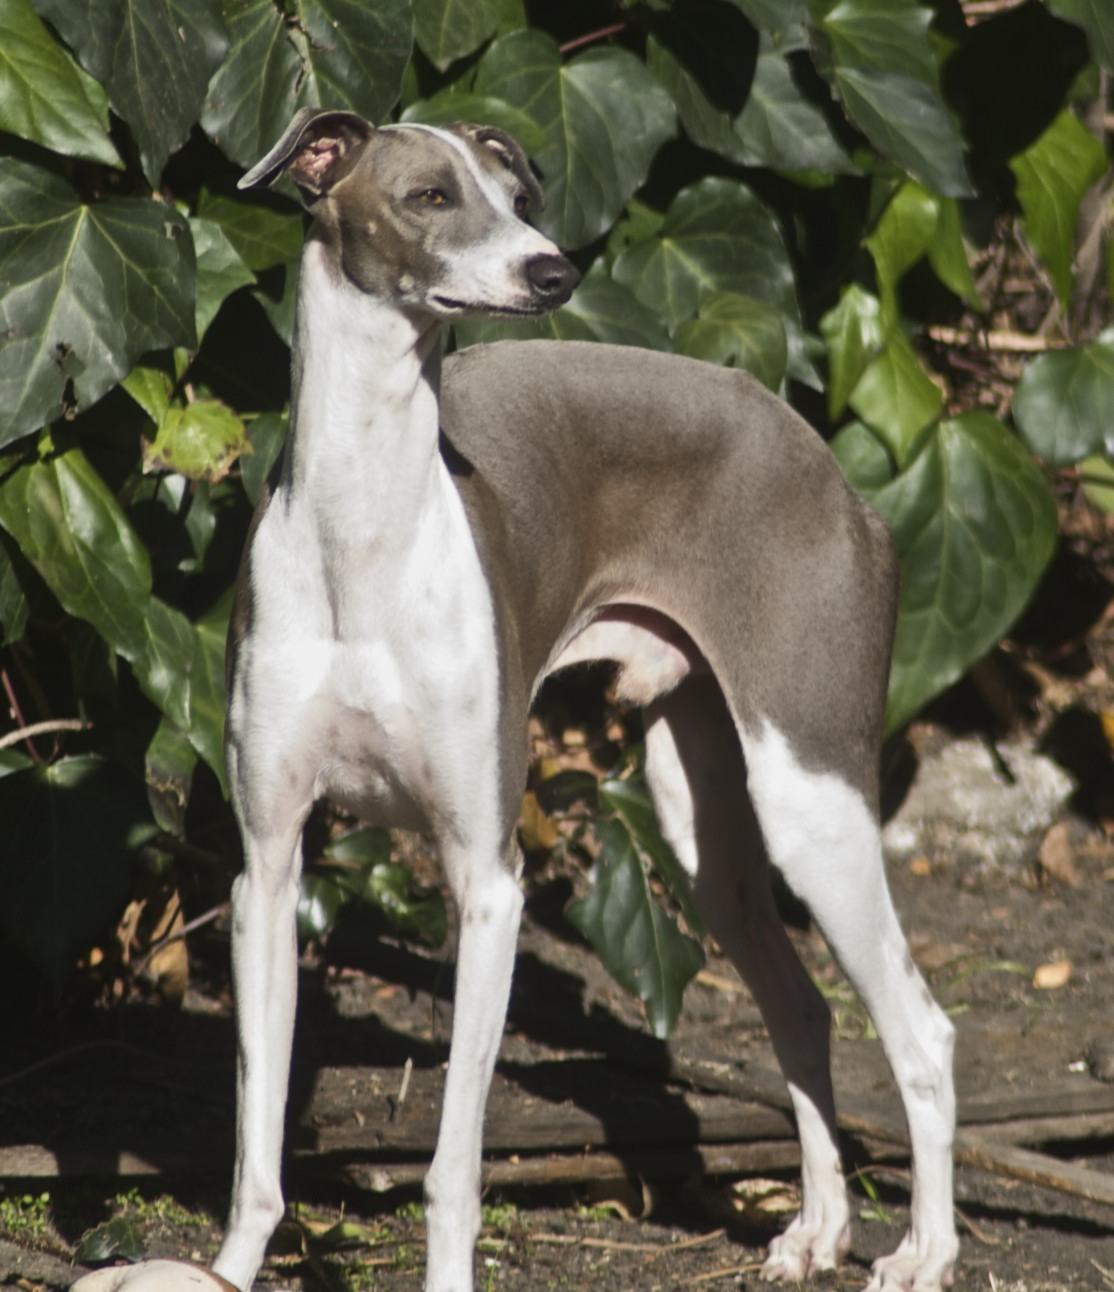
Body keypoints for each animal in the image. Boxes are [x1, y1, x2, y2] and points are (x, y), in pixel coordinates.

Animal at [72, 108, 961, 1292]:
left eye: (519, 197)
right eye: (430, 197)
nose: (554, 271)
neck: (365, 535)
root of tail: (823, 460)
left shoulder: (489, 881)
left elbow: (453, 1165)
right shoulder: (266, 864)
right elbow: (257, 1145)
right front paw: (231, 1266)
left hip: (810, 793)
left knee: (921, 1031)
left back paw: (924, 1250)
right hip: (703, 829)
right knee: (804, 1004)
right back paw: (816, 1230)